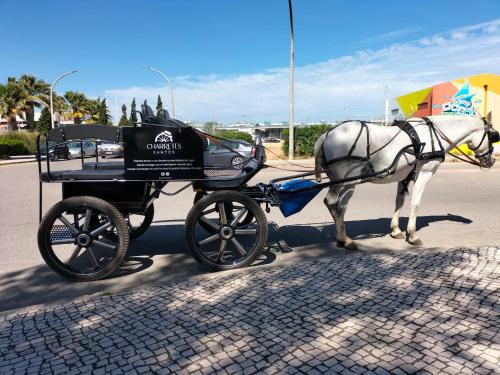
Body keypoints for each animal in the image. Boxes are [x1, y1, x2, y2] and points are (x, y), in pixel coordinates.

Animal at [314, 114, 494, 250]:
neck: (432, 135)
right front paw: (412, 235)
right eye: (493, 137)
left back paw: (340, 236)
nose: (491, 160)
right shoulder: (425, 173)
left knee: (331, 203)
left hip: (336, 179)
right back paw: (345, 238)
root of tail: (326, 135)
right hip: (348, 181)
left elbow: (399, 201)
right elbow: (415, 203)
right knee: (338, 205)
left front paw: (396, 230)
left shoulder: (404, 176)